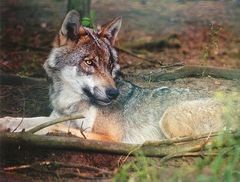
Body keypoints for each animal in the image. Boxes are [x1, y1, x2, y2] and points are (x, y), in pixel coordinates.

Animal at [0, 10, 236, 144]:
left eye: (110, 65)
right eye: (89, 63)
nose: (113, 93)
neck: (71, 102)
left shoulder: (109, 136)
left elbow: (56, 127)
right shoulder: (56, 115)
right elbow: (33, 120)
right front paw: (7, 122)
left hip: (169, 118)